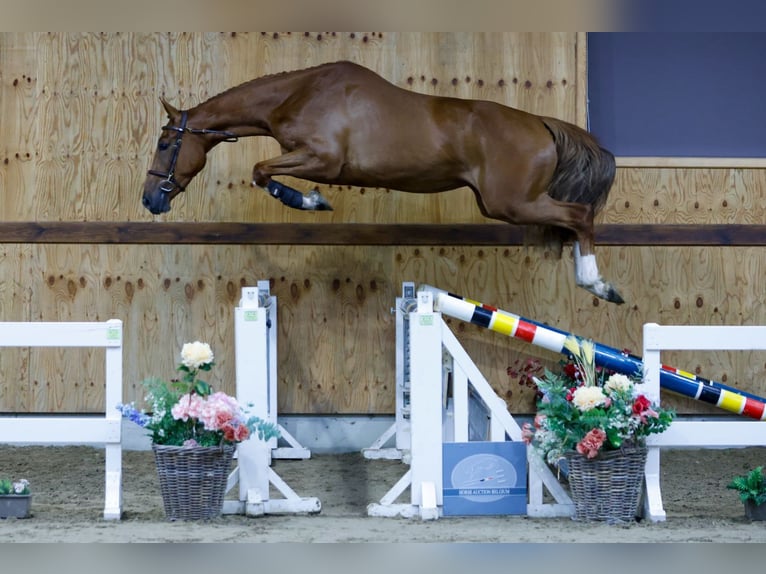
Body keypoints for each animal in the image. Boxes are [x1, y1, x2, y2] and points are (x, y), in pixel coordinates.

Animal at [144, 60, 624, 306]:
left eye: (166, 144)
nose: (150, 200)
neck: (300, 93)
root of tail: (541, 124)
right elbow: (262, 171)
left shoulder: (323, 160)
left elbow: (263, 172)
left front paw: (310, 201)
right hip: (505, 203)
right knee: (571, 222)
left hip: (510, 203)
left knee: (580, 216)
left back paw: (599, 285)